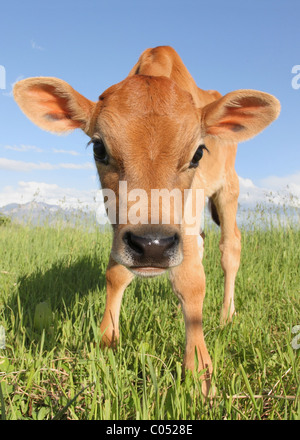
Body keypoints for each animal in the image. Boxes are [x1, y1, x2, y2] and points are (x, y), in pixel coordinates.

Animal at [12, 45, 280, 396]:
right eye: (99, 148)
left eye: (198, 153)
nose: (153, 245)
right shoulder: (121, 225)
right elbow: (116, 273)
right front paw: (108, 338)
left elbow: (192, 281)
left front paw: (199, 371)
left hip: (228, 189)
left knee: (229, 247)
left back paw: (226, 316)